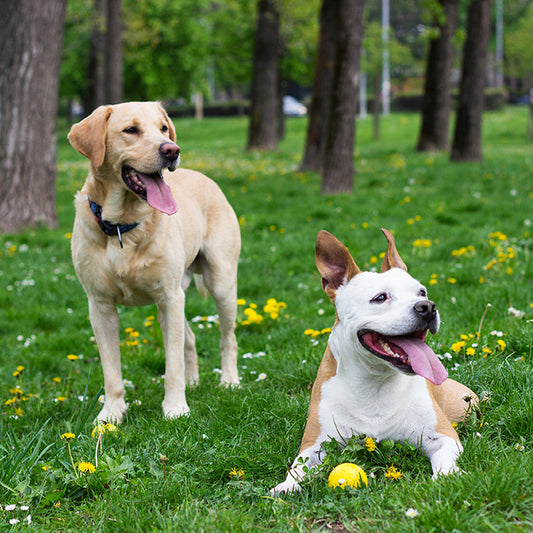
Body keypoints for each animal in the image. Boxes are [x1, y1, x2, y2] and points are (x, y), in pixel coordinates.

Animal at [67, 102, 240, 422]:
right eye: (130, 130)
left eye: (163, 128)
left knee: (227, 338)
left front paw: (175, 409)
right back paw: (193, 383)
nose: (172, 150)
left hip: (220, 283)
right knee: (190, 338)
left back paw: (229, 382)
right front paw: (111, 414)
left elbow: (172, 366)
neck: (122, 226)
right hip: (178, 295)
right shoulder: (100, 306)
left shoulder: (169, 297)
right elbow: (112, 373)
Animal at [272, 229, 476, 490]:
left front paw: (448, 475)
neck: (375, 381)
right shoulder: (314, 445)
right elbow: (298, 467)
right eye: (380, 298)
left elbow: (444, 457)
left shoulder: (443, 436)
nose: (428, 306)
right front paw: (285, 486)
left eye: (421, 292)